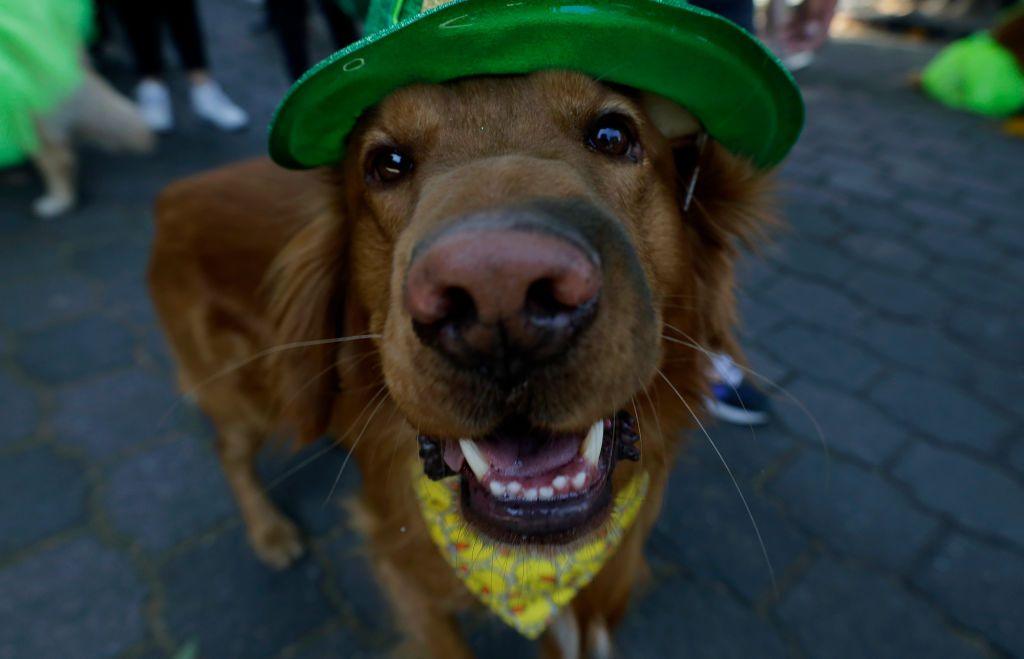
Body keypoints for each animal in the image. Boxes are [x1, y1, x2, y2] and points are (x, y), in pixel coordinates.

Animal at [148, 69, 770, 654]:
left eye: (613, 135)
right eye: (387, 164)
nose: (499, 290)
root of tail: (174, 191)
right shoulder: (403, 570)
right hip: (246, 394)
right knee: (228, 449)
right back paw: (269, 531)